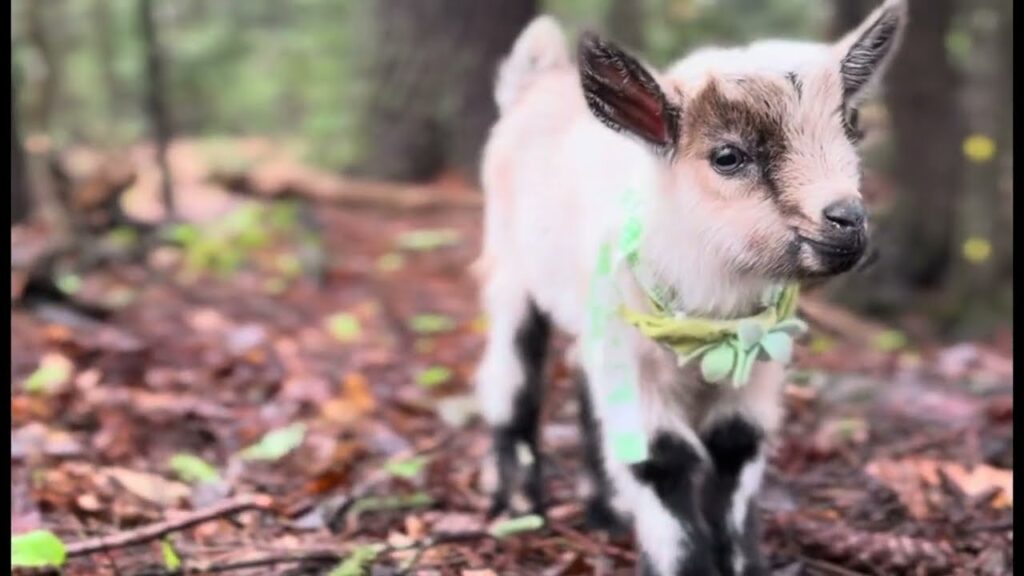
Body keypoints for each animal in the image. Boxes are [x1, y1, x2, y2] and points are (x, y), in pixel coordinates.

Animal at [474, 2, 906, 574]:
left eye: (852, 130)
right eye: (728, 156)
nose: (848, 221)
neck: (713, 322)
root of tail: (535, 81)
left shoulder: (758, 363)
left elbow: (734, 450)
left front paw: (744, 564)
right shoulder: (636, 363)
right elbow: (661, 461)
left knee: (586, 390)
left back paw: (606, 515)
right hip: (511, 271)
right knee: (513, 378)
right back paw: (518, 510)